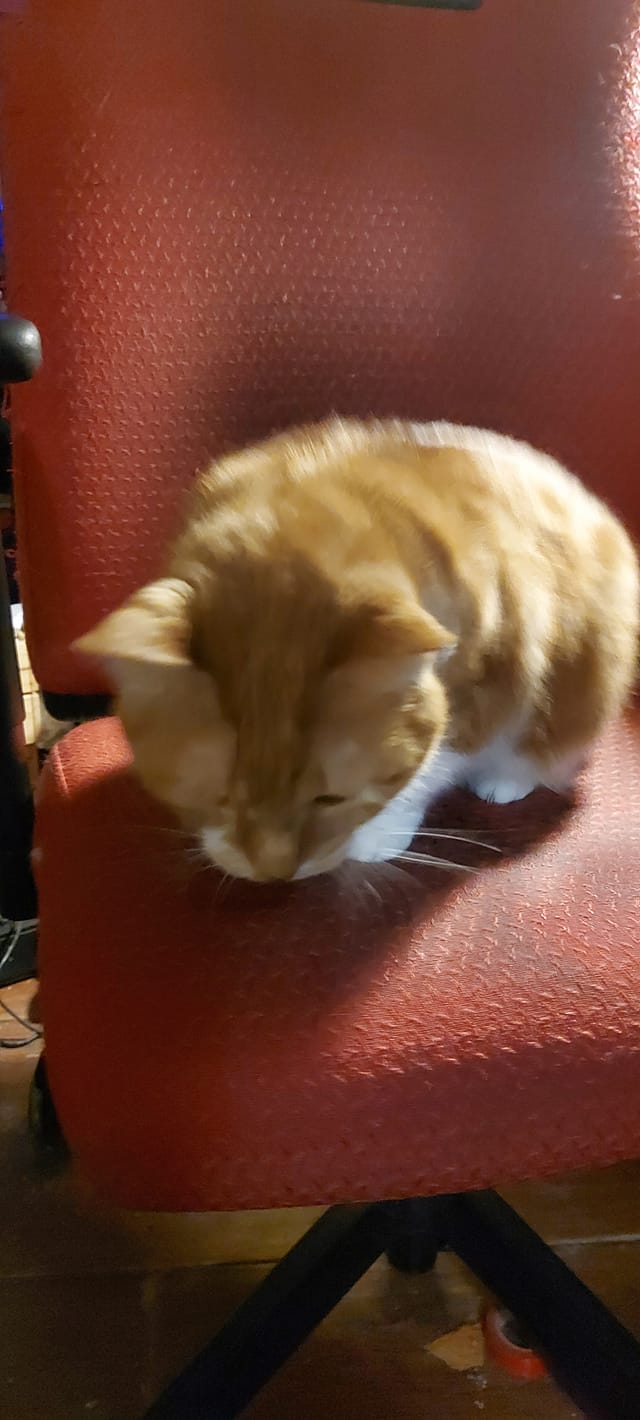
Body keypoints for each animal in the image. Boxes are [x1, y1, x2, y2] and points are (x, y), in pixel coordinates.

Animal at [77, 414, 638, 874]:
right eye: (220, 799)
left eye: (329, 799)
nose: (275, 873)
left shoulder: (489, 686)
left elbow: (430, 768)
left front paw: (375, 835)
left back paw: (507, 778)